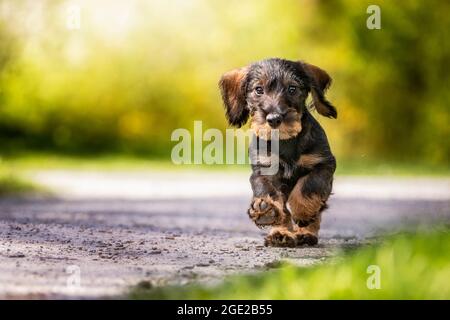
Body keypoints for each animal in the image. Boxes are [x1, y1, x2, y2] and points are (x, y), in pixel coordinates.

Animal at [220, 57, 336, 248]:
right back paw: (279, 233)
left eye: (292, 88)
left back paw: (305, 233)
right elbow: (270, 193)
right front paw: (268, 212)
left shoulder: (323, 165)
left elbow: (307, 187)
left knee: (316, 213)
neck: (285, 141)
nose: (274, 119)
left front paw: (302, 212)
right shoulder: (264, 171)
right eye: (258, 90)